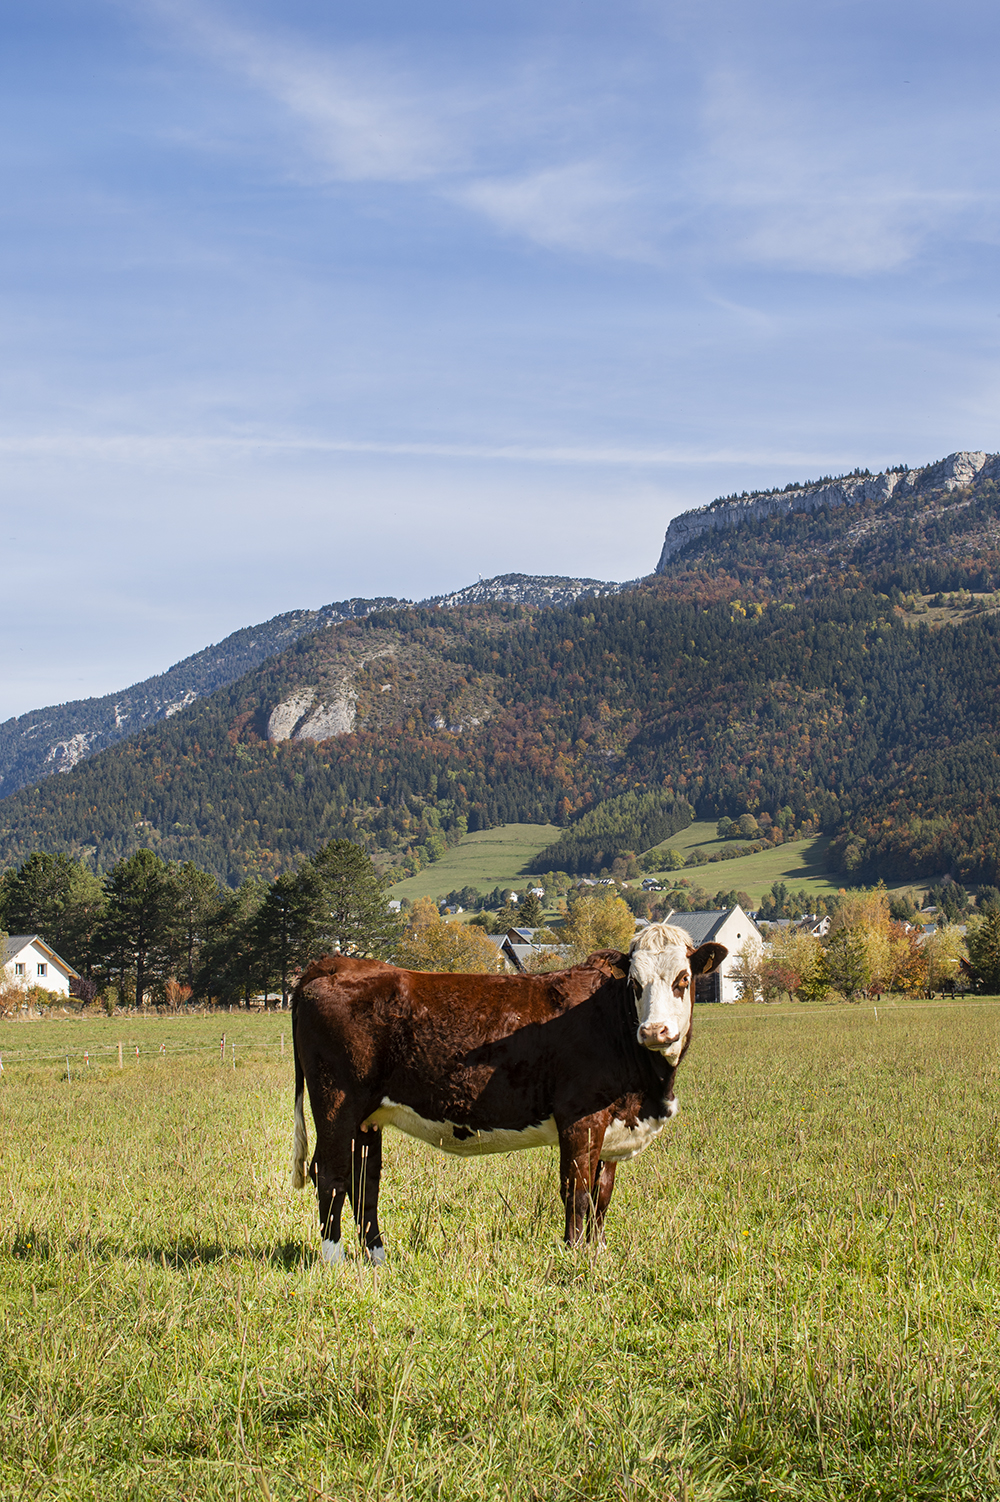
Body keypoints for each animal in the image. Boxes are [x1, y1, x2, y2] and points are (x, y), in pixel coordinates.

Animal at [288, 919, 723, 1261]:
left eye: (683, 980)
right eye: (635, 983)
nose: (654, 1031)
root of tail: (337, 963)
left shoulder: (613, 1124)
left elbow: (602, 1195)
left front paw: (598, 1254)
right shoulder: (580, 1117)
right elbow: (576, 1191)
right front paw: (575, 1257)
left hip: (367, 1117)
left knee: (365, 1182)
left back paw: (377, 1257)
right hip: (336, 1103)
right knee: (331, 1174)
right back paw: (333, 1260)